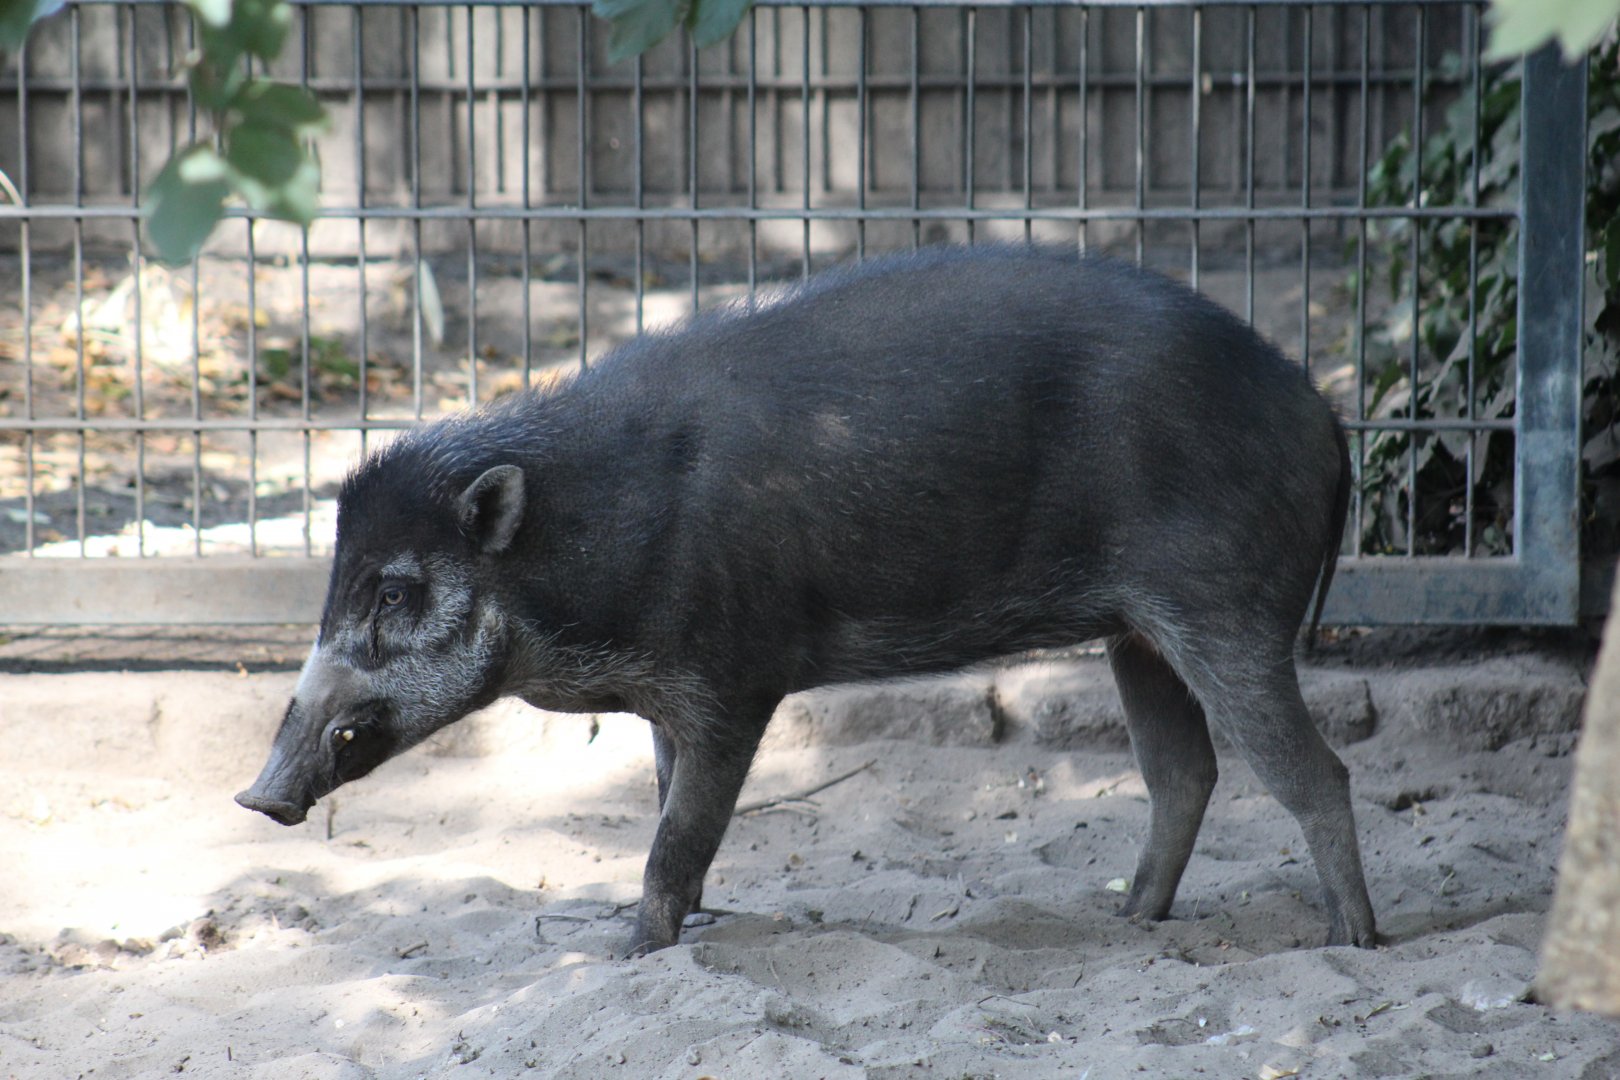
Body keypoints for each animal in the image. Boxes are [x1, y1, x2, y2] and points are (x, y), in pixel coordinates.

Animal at [237, 244, 1377, 954]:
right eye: (336, 583)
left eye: (395, 589)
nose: (255, 799)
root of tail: (1320, 409)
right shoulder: (668, 701)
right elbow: (667, 807)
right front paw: (675, 937)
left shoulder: (735, 680)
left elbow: (680, 834)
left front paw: (627, 952)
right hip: (1137, 632)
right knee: (1184, 773)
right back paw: (1131, 924)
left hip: (1225, 608)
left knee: (1315, 773)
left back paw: (1348, 941)